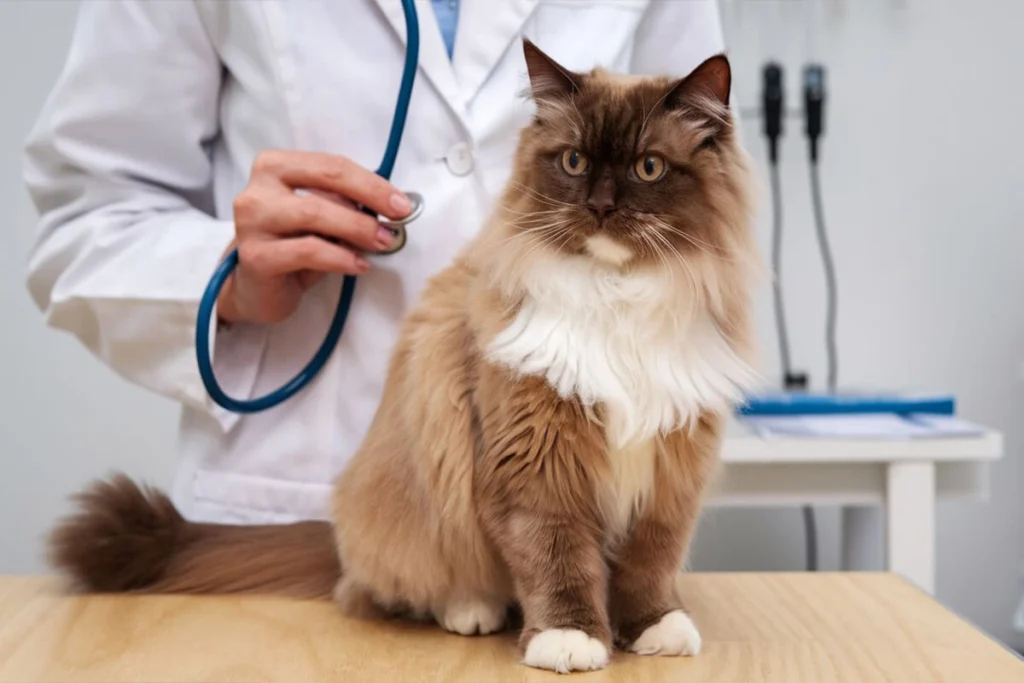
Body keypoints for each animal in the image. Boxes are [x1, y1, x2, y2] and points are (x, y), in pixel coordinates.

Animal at [51, 40, 765, 675]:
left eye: (649, 168)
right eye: (572, 161)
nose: (600, 206)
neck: (619, 296)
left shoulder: (673, 466)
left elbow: (650, 563)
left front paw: (654, 628)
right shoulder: (536, 463)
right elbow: (558, 557)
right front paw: (570, 640)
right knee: (384, 588)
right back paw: (470, 610)